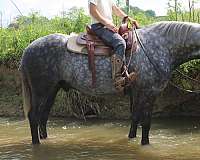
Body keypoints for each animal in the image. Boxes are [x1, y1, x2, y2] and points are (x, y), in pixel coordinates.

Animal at [19, 21, 200, 145]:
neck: (161, 46)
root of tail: (27, 49)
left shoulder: (137, 92)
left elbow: (135, 118)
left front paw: (131, 139)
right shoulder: (149, 92)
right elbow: (146, 122)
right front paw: (145, 144)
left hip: (52, 90)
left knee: (43, 117)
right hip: (41, 90)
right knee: (34, 116)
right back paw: (37, 144)